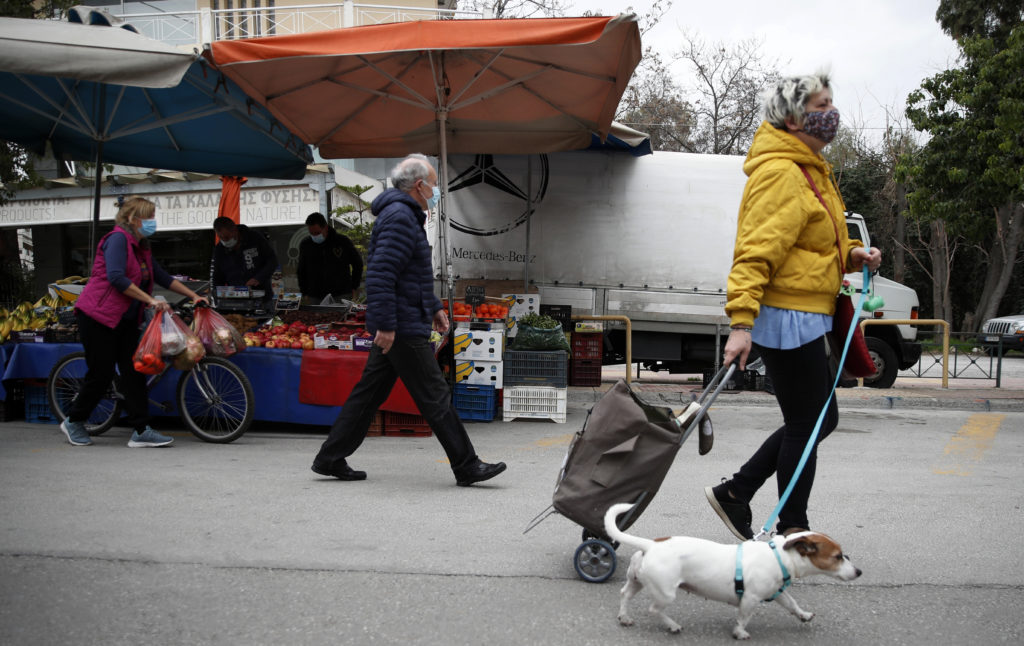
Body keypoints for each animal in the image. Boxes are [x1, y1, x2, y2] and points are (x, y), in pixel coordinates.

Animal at [602, 503, 860, 638]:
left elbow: (793, 605)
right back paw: (672, 624)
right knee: (654, 609)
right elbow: (744, 617)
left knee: (625, 595)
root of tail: (651, 544)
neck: (780, 555)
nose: (859, 572)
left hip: (636, 581)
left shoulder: (778, 593)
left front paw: (804, 615)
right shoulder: (751, 598)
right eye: (838, 556)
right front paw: (739, 632)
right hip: (665, 592)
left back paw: (624, 617)